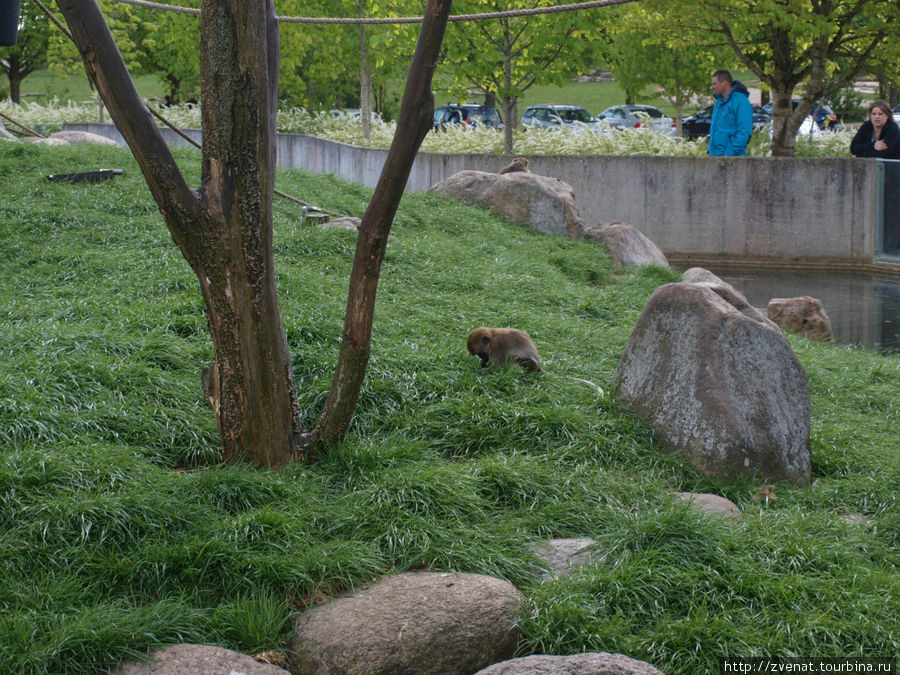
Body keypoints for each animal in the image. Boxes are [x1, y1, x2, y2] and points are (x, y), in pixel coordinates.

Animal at [464, 328, 604, 396]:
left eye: (481, 353)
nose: (483, 358)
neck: (492, 338)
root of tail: (538, 367)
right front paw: (481, 365)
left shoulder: (498, 347)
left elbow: (501, 364)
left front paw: (481, 372)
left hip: (529, 364)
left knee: (518, 359)